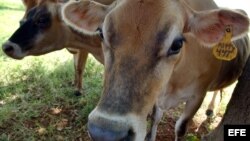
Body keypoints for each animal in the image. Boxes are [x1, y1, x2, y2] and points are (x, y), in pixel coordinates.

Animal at [62, 0, 248, 140]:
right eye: (101, 33)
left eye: (177, 44)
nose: (106, 133)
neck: (172, 84)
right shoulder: (157, 95)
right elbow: (155, 120)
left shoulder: (197, 96)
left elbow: (180, 128)